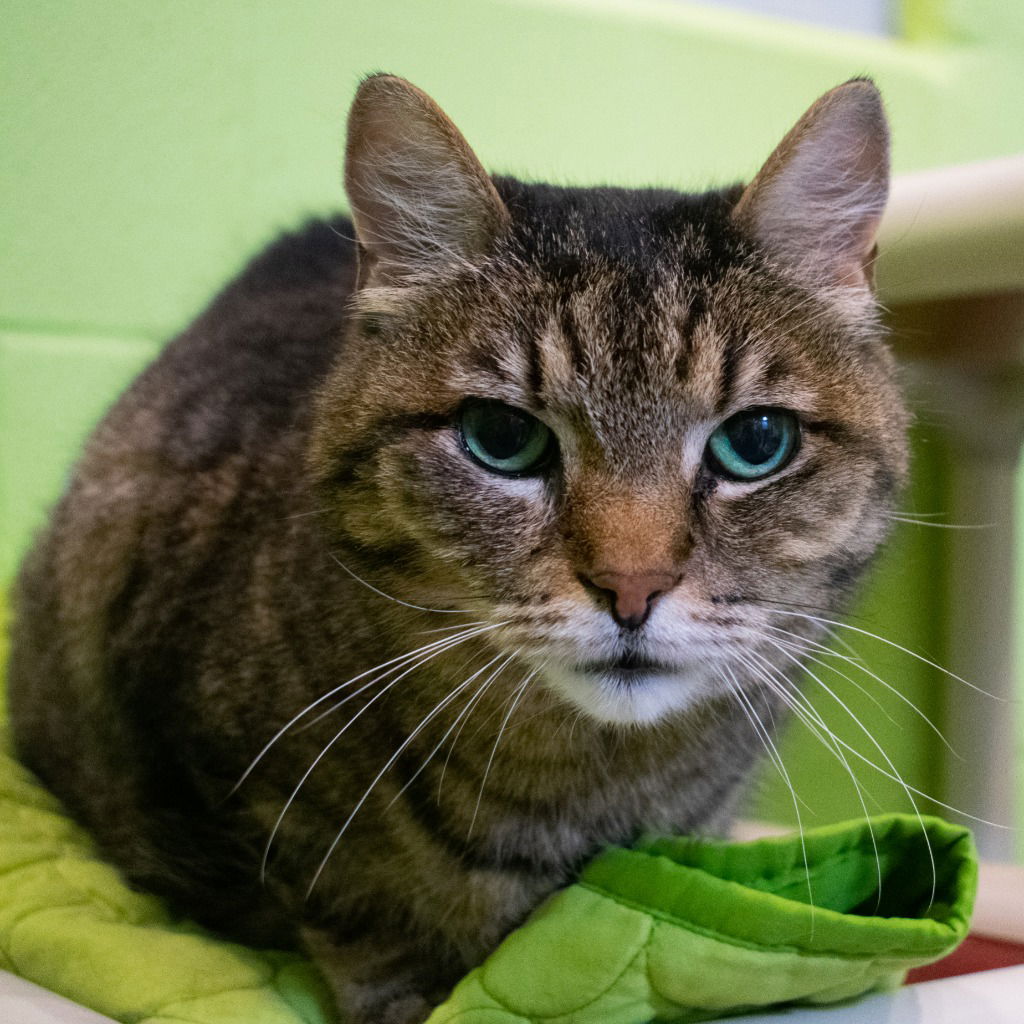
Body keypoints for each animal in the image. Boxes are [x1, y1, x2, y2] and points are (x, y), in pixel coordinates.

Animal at [6, 74, 905, 1024]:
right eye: (502, 437)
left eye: (756, 442)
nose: (632, 586)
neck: (580, 781)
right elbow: (344, 900)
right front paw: (409, 987)